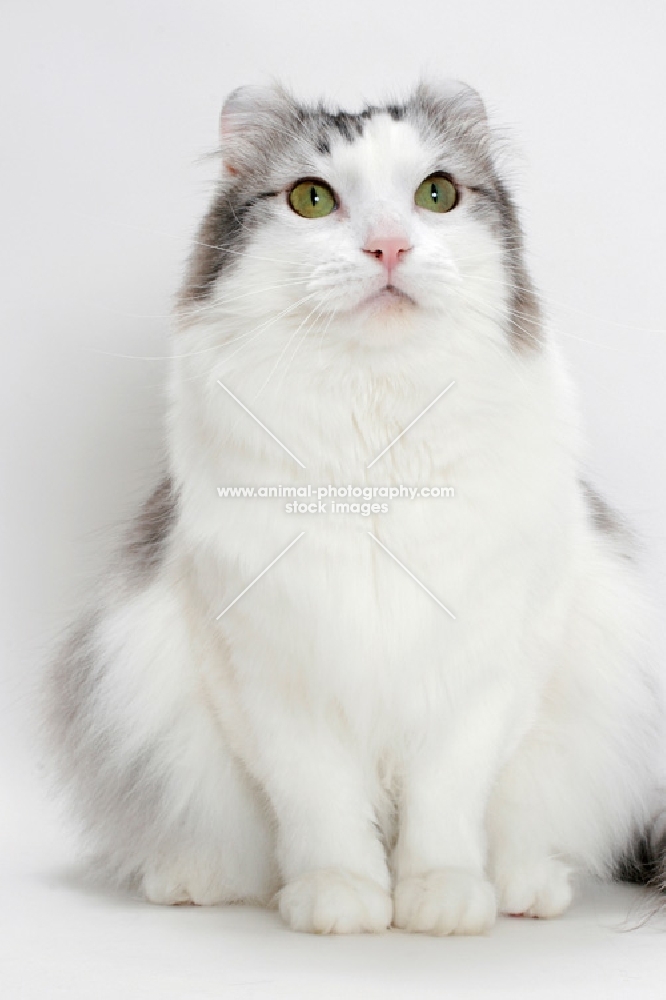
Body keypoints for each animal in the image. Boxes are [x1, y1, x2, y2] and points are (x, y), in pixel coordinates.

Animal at [46, 82, 664, 932]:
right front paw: (341, 898)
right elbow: (323, 806)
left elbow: (446, 804)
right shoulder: (270, 673)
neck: (378, 450)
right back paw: (195, 879)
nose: (389, 248)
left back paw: (525, 888)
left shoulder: (485, 668)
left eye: (436, 195)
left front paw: (441, 896)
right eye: (313, 199)